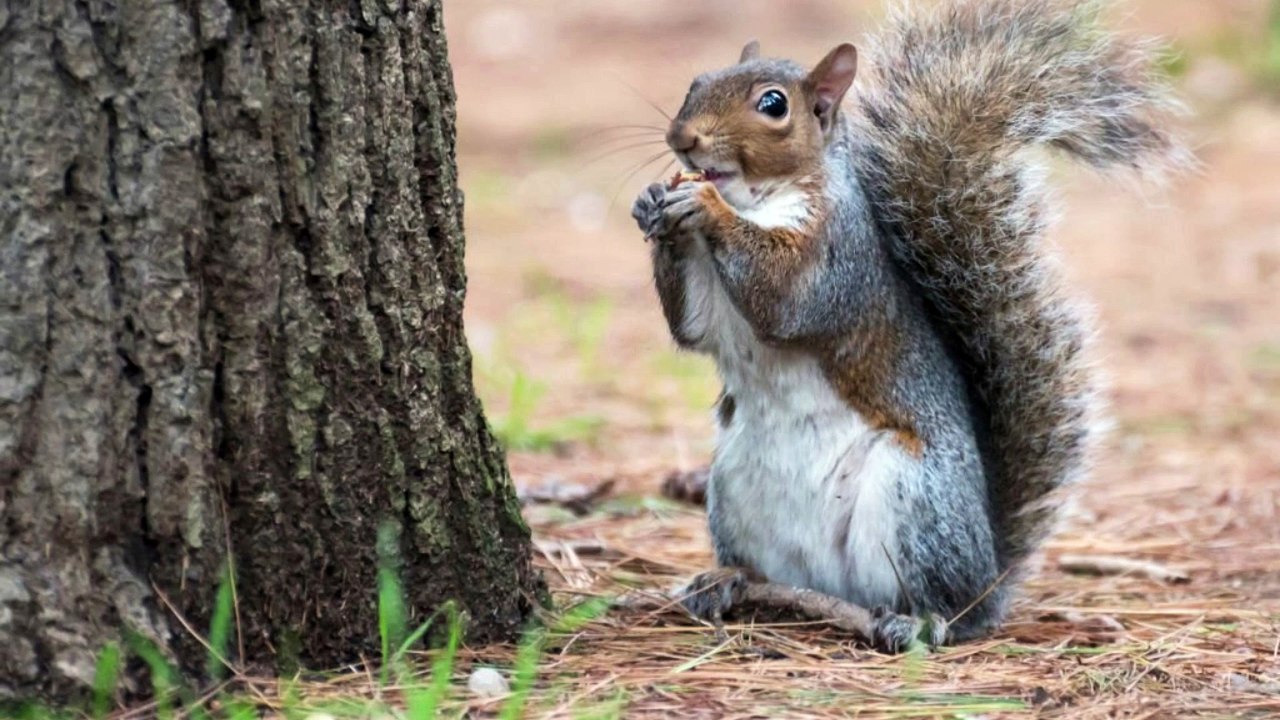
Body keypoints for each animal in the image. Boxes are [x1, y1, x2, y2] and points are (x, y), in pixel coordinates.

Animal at [630, 0, 1188, 652]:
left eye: (773, 105)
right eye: (696, 83)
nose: (682, 138)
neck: (758, 198)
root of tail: (988, 579)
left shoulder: (836, 257)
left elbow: (784, 298)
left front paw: (706, 208)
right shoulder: (712, 306)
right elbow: (693, 327)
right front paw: (652, 202)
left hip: (915, 500)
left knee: (941, 603)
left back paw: (917, 619)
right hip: (731, 486)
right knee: (766, 568)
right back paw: (726, 580)